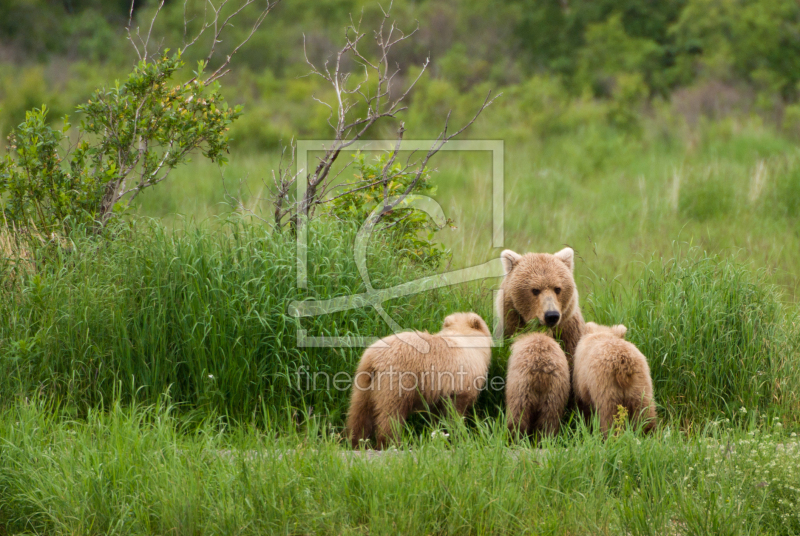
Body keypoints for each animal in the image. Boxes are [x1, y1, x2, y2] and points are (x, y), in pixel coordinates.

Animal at [346, 312, 490, 450]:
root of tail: (373, 358)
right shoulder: (462, 379)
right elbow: (456, 409)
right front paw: (460, 434)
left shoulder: (438, 389)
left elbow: (437, 412)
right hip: (399, 378)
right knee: (391, 413)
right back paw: (392, 443)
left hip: (364, 380)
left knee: (359, 411)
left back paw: (356, 441)